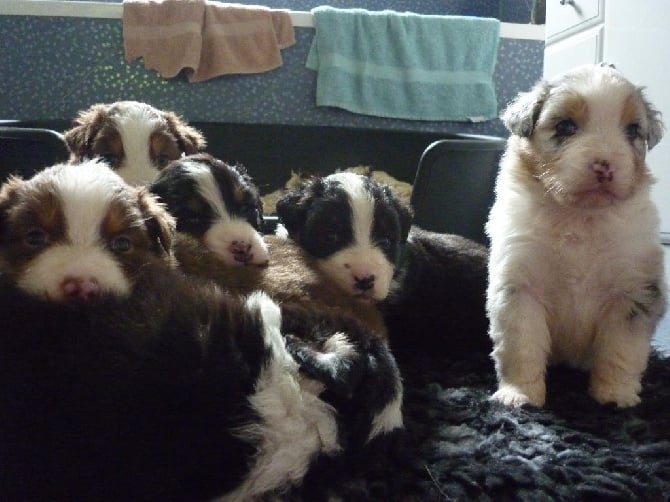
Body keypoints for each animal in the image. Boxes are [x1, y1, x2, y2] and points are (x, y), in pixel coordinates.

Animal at [486, 63, 668, 408]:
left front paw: (615, 396)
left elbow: (621, 350)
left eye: (632, 131)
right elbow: (521, 347)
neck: (581, 218)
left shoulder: (632, 293)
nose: (605, 167)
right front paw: (520, 396)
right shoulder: (520, 288)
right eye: (566, 126)